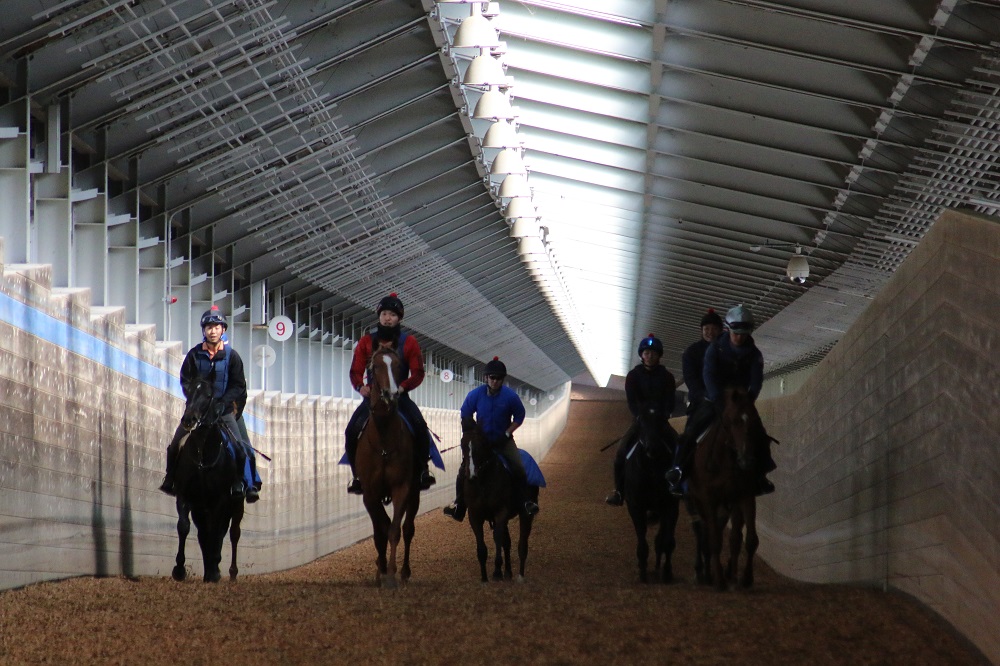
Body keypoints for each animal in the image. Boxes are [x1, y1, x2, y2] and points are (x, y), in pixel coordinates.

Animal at [169, 374, 245, 580]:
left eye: (209, 395)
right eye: (187, 391)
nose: (189, 419)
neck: (203, 455)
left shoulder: (220, 500)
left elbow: (217, 532)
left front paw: (214, 570)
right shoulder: (185, 496)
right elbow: (184, 526)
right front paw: (179, 569)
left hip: (237, 505)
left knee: (233, 533)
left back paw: (230, 572)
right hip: (202, 508)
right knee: (205, 533)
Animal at [356, 344, 418, 584]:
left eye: (399, 365)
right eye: (375, 366)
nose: (391, 394)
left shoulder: (402, 487)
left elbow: (393, 530)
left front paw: (390, 573)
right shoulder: (369, 492)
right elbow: (380, 530)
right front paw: (380, 568)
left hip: (415, 492)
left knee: (408, 528)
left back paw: (405, 572)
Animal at [462, 426, 536, 580]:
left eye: (481, 445)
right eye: (462, 445)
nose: (471, 475)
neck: (483, 482)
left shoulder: (501, 512)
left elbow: (497, 537)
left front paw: (496, 571)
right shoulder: (474, 515)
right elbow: (481, 541)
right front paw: (484, 576)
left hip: (526, 514)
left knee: (522, 542)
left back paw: (520, 575)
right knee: (507, 542)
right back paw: (508, 572)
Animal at [620, 400, 684, 580]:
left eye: (662, 420)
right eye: (641, 420)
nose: (652, 448)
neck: (652, 470)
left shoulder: (670, 507)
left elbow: (667, 541)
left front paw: (667, 572)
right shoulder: (636, 507)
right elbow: (642, 539)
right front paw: (642, 570)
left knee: (661, 538)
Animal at [688, 386, 764, 588]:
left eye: (755, 419)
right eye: (733, 421)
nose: (747, 461)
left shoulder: (745, 496)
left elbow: (748, 539)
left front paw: (745, 578)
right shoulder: (708, 499)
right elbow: (714, 540)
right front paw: (720, 581)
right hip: (695, 503)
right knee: (702, 532)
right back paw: (704, 573)